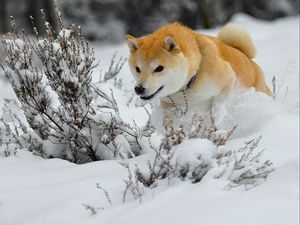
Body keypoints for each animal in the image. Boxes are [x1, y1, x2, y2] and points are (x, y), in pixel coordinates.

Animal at [125, 23, 270, 112]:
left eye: (159, 68)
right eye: (137, 69)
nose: (139, 89)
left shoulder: (228, 80)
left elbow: (216, 110)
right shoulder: (168, 103)